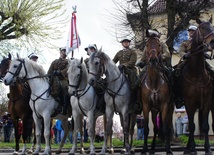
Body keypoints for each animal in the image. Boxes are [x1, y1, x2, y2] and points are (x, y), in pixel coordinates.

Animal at [180, 21, 214, 154]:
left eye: (212, 27)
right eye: (202, 28)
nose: (212, 42)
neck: (197, 73)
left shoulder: (207, 102)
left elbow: (205, 126)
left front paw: (208, 148)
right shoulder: (189, 102)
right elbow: (192, 126)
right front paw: (193, 149)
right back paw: (188, 148)